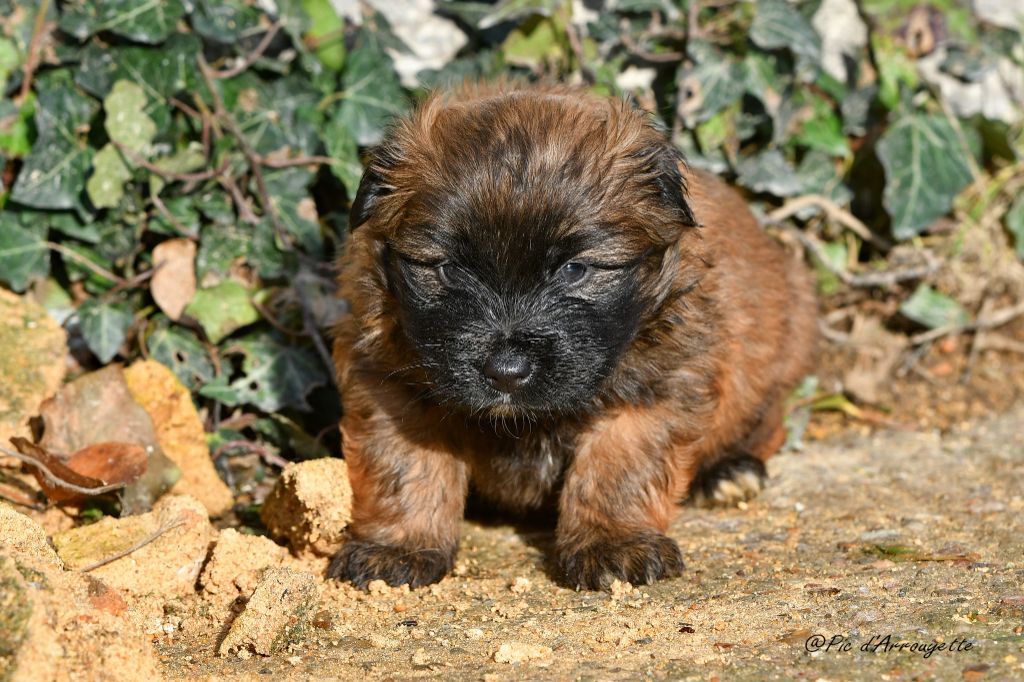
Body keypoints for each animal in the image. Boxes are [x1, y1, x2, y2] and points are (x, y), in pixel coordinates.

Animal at [329, 82, 823, 585]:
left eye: (574, 270)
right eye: (449, 269)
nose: (507, 371)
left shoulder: (653, 386)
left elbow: (619, 466)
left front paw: (613, 543)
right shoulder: (390, 381)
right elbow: (405, 466)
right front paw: (396, 547)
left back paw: (727, 472)